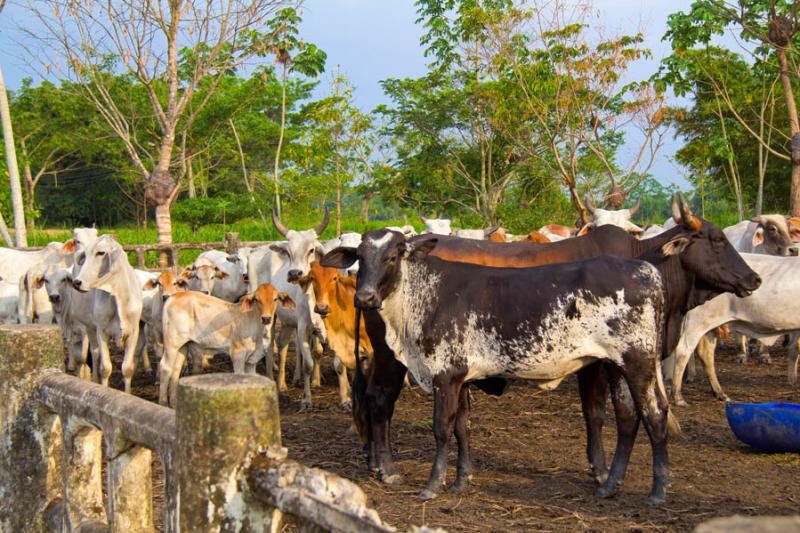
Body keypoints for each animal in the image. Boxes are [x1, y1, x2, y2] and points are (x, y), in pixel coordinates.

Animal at [72, 235, 144, 392]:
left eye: (101, 253)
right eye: (85, 254)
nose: (77, 282)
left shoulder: (134, 332)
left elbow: (127, 369)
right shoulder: (101, 331)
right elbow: (105, 368)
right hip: (89, 328)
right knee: (94, 353)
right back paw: (94, 380)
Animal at [158, 282, 292, 404]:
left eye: (275, 299)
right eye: (256, 299)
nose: (266, 318)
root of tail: (174, 297)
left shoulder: (251, 360)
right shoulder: (237, 354)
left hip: (183, 345)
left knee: (175, 370)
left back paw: (173, 404)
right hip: (171, 343)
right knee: (165, 367)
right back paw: (163, 402)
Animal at [326, 232, 680, 502]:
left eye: (393, 255)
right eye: (360, 257)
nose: (364, 297)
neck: (425, 296)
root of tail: (644, 269)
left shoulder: (445, 376)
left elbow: (441, 428)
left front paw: (433, 485)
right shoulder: (461, 376)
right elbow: (462, 426)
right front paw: (461, 480)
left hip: (638, 361)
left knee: (654, 414)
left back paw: (659, 490)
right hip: (615, 365)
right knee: (628, 418)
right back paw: (610, 485)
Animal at [672, 254, 800, 404]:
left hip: (709, 326)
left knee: (706, 354)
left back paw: (720, 393)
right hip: (698, 322)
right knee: (683, 351)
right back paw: (677, 396)